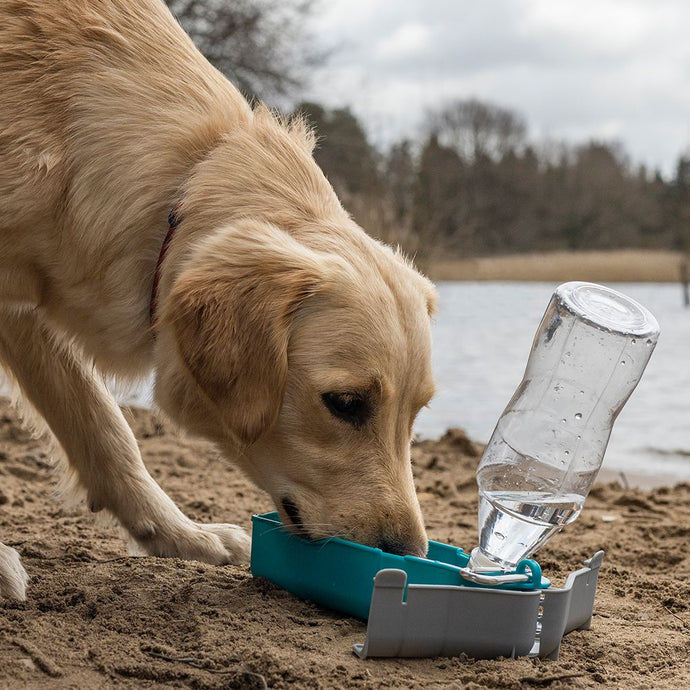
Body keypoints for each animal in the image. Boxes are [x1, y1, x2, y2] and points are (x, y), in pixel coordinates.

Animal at [0, 0, 436, 596]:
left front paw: (183, 536)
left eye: (419, 411)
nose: (409, 556)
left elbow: (105, 428)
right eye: (346, 404)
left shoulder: (27, 308)